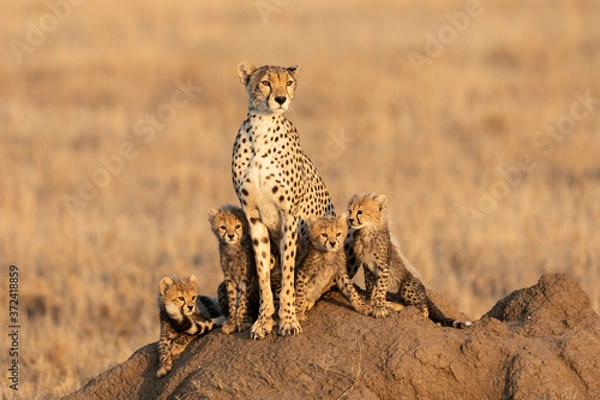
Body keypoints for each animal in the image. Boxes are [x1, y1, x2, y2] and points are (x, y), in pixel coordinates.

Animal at [231, 61, 336, 338]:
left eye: (288, 83)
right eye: (266, 82)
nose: (281, 99)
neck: (262, 128)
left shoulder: (289, 216)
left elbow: (289, 272)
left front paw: (287, 319)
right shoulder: (253, 217)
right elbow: (263, 271)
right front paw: (263, 320)